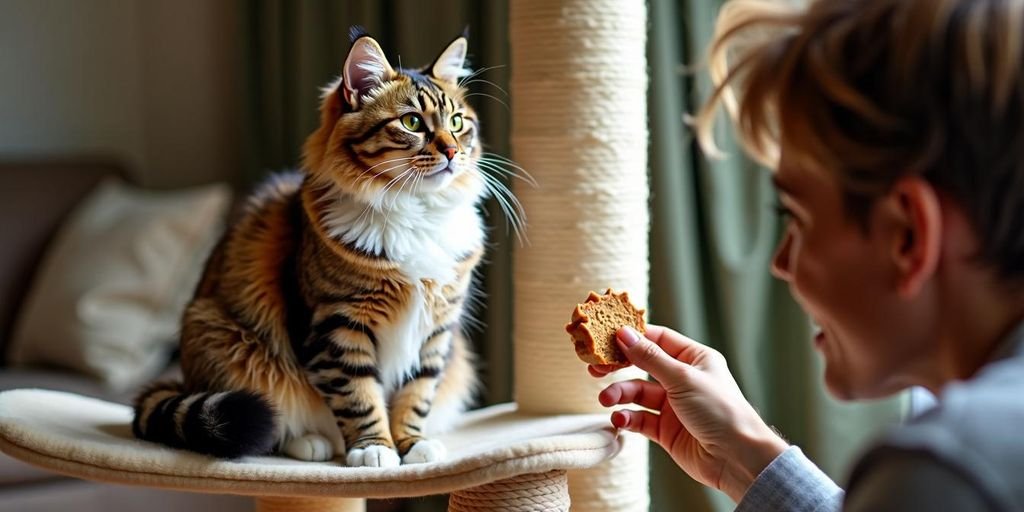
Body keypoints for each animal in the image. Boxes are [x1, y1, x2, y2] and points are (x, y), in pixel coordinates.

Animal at [129, 28, 516, 468]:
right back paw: (314, 444)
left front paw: (412, 444)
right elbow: (359, 396)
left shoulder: (436, 330)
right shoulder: (338, 326)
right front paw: (374, 449)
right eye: (412, 122)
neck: (415, 211)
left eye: (457, 122)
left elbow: (415, 394)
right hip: (227, 341)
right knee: (274, 421)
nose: (452, 152)